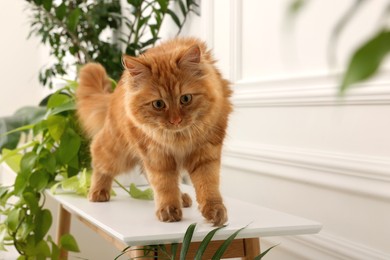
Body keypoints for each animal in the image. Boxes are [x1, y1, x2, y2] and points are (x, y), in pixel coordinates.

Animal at [77, 36, 233, 225]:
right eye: (158, 104)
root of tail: (114, 94)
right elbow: (164, 185)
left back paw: (182, 197)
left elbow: (208, 185)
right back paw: (98, 192)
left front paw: (214, 211)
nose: (176, 121)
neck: (178, 137)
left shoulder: (206, 153)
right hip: (117, 152)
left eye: (185, 99)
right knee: (98, 158)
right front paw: (168, 210)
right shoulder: (156, 156)